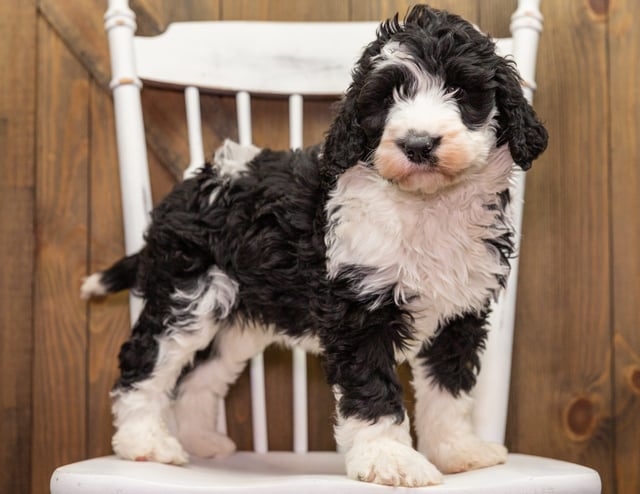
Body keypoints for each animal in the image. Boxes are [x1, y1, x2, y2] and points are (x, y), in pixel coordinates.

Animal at [82, 5, 548, 488]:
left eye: (459, 88)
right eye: (385, 99)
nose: (418, 144)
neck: (425, 207)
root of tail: (191, 186)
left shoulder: (460, 315)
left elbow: (449, 389)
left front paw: (457, 451)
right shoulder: (358, 309)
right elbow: (373, 389)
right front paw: (389, 459)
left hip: (238, 318)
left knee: (200, 377)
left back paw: (203, 443)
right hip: (188, 292)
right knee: (145, 360)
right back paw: (144, 443)